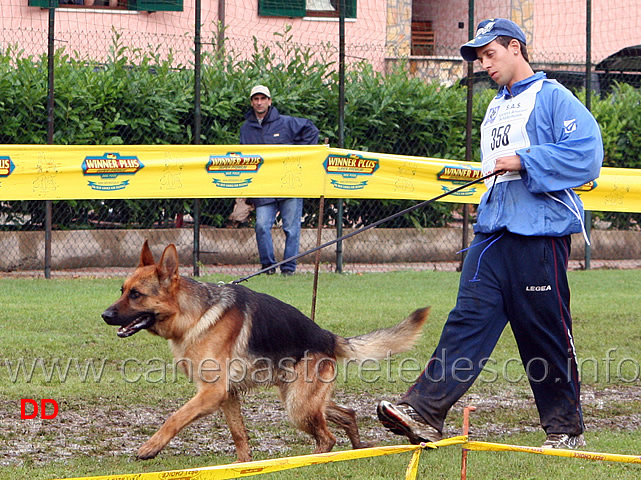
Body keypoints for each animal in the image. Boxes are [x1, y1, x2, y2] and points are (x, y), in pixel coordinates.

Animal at [102, 242, 428, 464]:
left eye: (136, 295)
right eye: (122, 290)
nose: (105, 315)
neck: (194, 314)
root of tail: (326, 335)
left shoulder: (211, 392)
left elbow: (174, 417)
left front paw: (151, 447)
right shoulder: (226, 395)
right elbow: (238, 434)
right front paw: (241, 465)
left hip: (298, 406)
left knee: (327, 436)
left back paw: (310, 461)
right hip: (300, 399)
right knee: (346, 414)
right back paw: (357, 451)